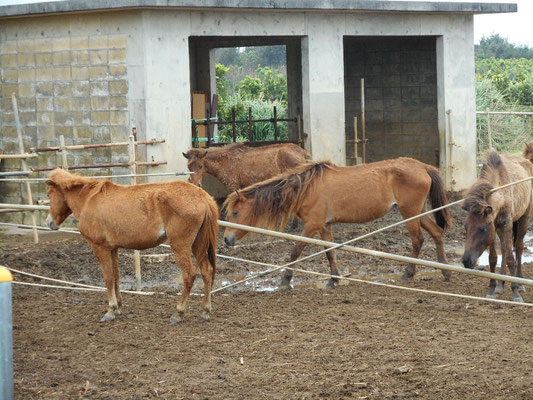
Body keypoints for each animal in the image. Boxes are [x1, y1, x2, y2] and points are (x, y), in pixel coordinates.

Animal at [45, 167, 218, 324]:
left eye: (49, 194)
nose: (49, 223)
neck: (89, 199)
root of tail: (203, 197)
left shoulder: (100, 248)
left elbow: (108, 277)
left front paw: (110, 310)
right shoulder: (113, 249)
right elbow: (116, 276)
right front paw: (118, 307)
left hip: (180, 246)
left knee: (189, 275)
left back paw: (178, 313)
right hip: (197, 245)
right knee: (207, 272)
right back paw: (205, 311)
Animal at [182, 142, 310, 191]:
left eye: (200, 166)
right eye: (188, 167)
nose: (196, 184)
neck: (224, 161)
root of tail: (303, 153)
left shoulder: (233, 186)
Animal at [222, 158, 450, 286]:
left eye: (235, 212)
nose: (226, 239)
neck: (307, 187)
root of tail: (423, 167)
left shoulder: (313, 225)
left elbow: (296, 251)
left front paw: (286, 279)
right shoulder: (324, 226)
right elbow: (329, 252)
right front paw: (334, 279)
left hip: (410, 212)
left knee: (418, 240)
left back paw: (409, 274)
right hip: (419, 212)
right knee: (437, 233)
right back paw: (445, 271)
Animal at [460, 148, 528, 302]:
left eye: (482, 228)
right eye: (465, 227)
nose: (466, 261)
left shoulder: (506, 225)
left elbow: (510, 258)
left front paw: (516, 292)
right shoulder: (494, 227)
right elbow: (493, 258)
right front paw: (492, 289)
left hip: (524, 219)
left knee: (518, 247)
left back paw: (520, 282)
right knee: (504, 250)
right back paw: (501, 284)